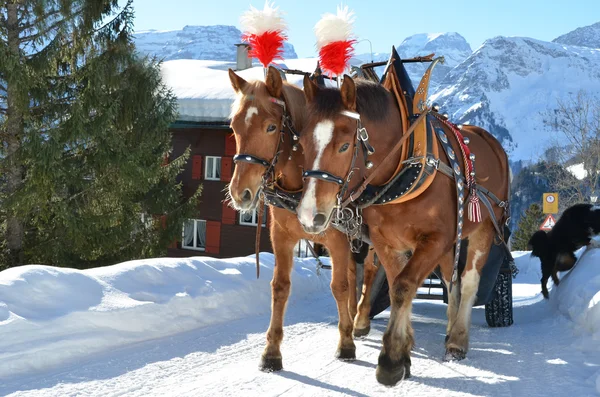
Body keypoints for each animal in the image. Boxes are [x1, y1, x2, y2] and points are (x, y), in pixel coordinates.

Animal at [227, 65, 378, 372]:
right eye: (234, 127)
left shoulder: (338, 241)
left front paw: (345, 344)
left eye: (271, 127)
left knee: (369, 272)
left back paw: (359, 321)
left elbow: (339, 287)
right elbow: (280, 287)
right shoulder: (281, 237)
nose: (240, 193)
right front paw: (271, 351)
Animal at [296, 74, 510, 384]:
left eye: (345, 146)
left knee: (468, 281)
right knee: (451, 280)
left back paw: (458, 339)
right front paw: (405, 348)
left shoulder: (435, 239)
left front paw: (391, 359)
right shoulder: (387, 241)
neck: (403, 167)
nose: (310, 214)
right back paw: (449, 328)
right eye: (301, 143)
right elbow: (399, 284)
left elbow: (403, 286)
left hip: (484, 228)